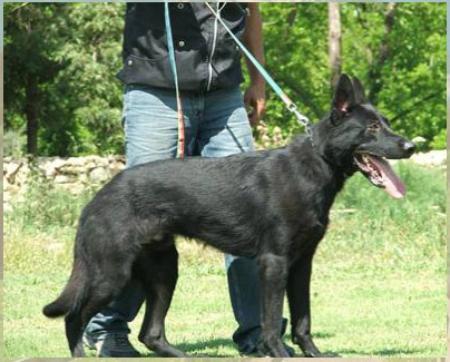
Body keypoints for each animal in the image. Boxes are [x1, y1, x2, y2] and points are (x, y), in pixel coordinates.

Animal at [42, 75, 414, 358]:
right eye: (371, 127)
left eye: (387, 124)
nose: (410, 147)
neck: (316, 165)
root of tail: (96, 199)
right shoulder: (274, 262)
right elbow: (271, 320)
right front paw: (279, 353)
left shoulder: (301, 264)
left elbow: (303, 319)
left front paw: (313, 354)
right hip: (112, 274)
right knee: (74, 317)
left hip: (164, 270)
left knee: (151, 333)